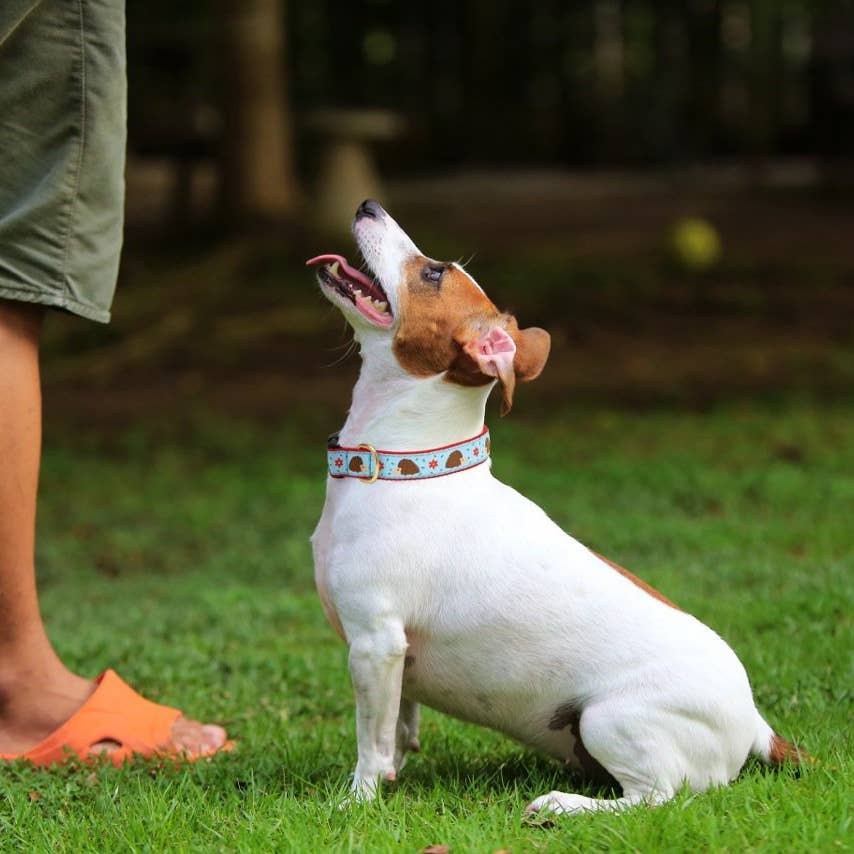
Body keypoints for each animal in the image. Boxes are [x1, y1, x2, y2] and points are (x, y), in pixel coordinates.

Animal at [306, 199, 804, 816]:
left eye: (434, 272)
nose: (368, 205)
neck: (410, 465)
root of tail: (758, 727)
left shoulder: (375, 642)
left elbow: (370, 744)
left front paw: (358, 800)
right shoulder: (398, 658)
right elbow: (399, 728)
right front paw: (394, 776)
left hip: (610, 719)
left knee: (655, 798)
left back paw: (560, 806)